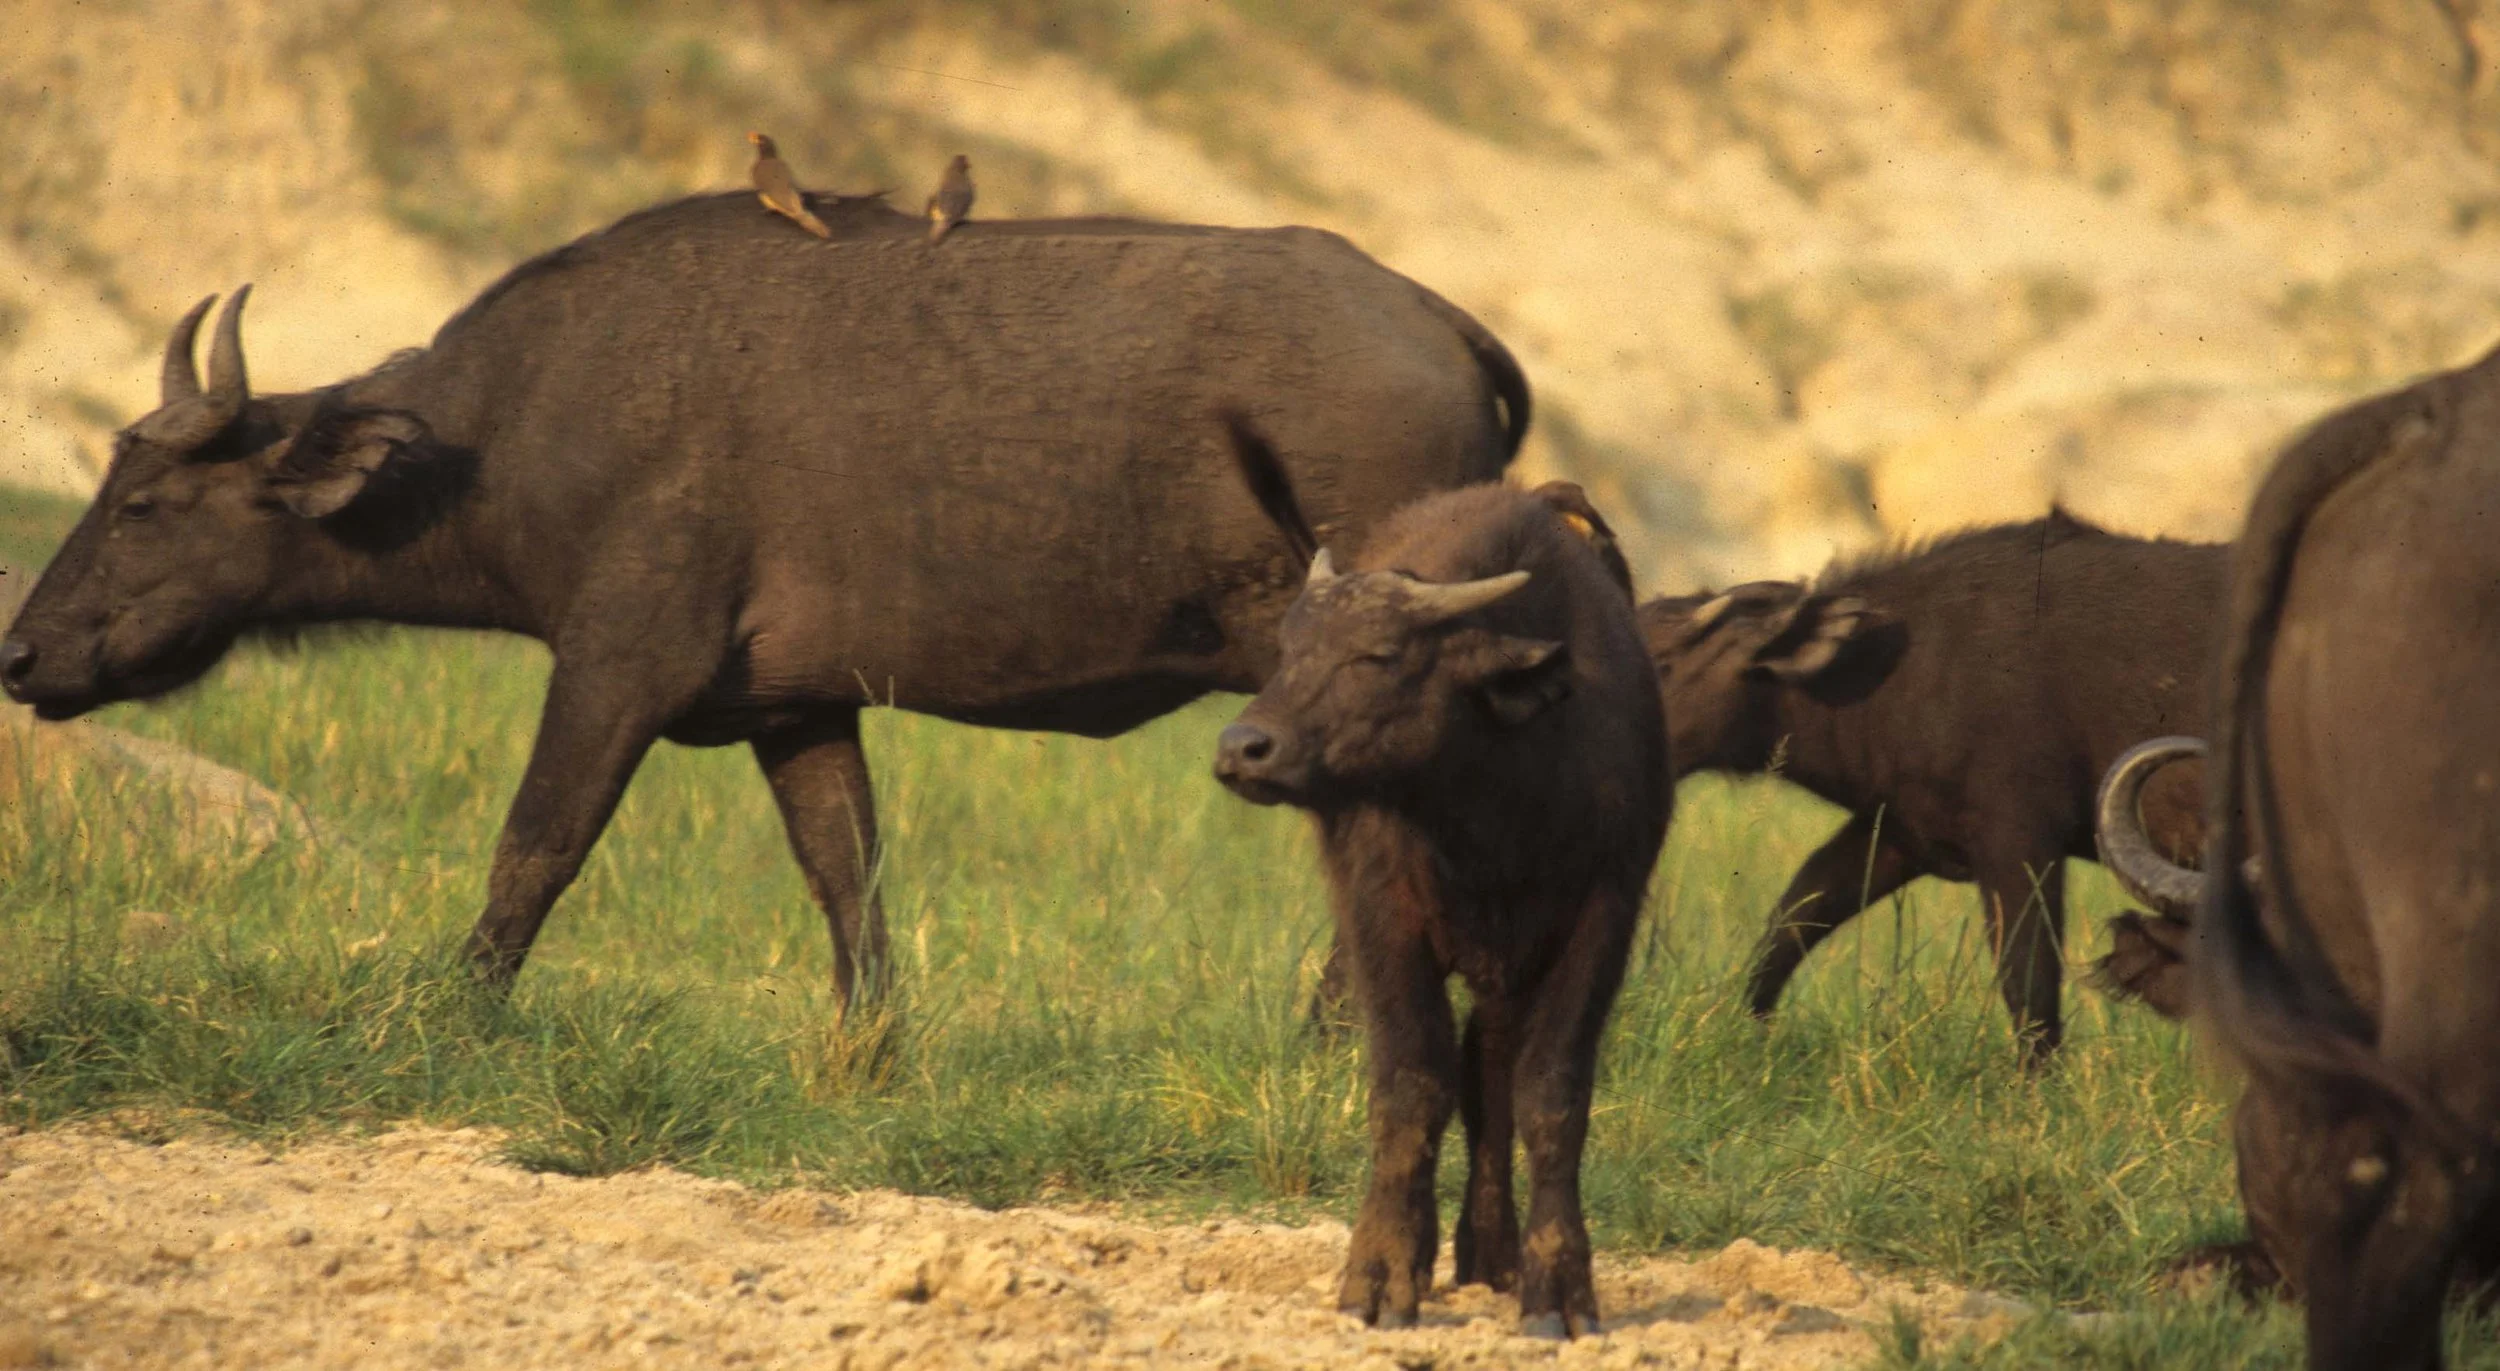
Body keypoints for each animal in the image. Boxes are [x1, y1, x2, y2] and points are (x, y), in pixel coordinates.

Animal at [0, 193, 1528, 1008]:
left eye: (142, 505)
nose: (21, 652)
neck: (517, 423)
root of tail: (1445, 321)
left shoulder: (614, 670)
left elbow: (534, 847)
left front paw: (452, 1012)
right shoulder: (797, 711)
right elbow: (848, 880)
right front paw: (874, 1052)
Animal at [1213, 467, 1670, 1338]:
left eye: (1378, 654)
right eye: (1288, 649)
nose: (1242, 748)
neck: (1491, 811)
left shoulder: (1602, 915)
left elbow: (1550, 1092)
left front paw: (1558, 1286)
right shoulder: (1380, 916)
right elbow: (1412, 1082)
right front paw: (1383, 1271)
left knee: (1491, 1074)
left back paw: (1490, 1246)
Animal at [1634, 510, 2220, 1060]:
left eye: (1664, 662)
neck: (1903, 664)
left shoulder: (2020, 842)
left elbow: (2027, 974)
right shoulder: (1899, 831)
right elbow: (1796, 914)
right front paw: (1748, 1028)